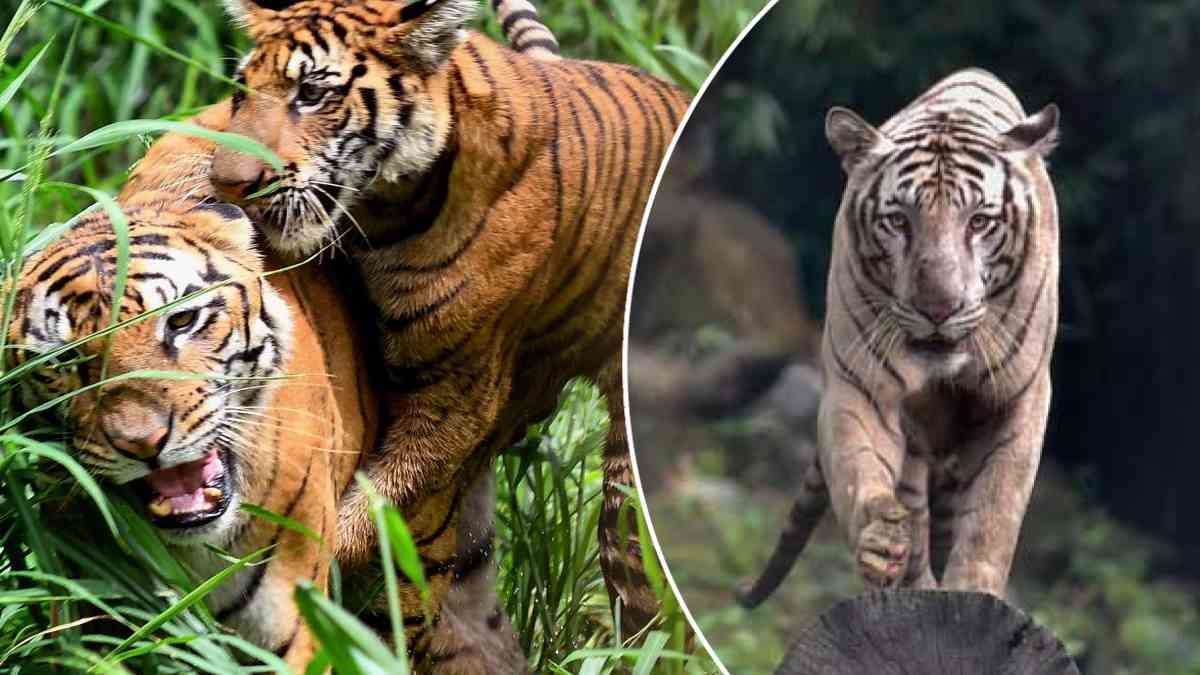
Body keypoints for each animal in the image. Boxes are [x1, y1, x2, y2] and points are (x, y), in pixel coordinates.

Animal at [202, 0, 691, 649]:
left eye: (311, 93)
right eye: (241, 91)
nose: (226, 183)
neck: (385, 215)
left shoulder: (456, 400)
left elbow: (371, 508)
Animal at [737, 69, 1060, 608]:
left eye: (979, 221)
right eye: (898, 221)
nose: (939, 308)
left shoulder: (1020, 397)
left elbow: (994, 514)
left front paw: (973, 588)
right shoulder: (861, 386)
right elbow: (859, 466)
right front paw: (880, 540)